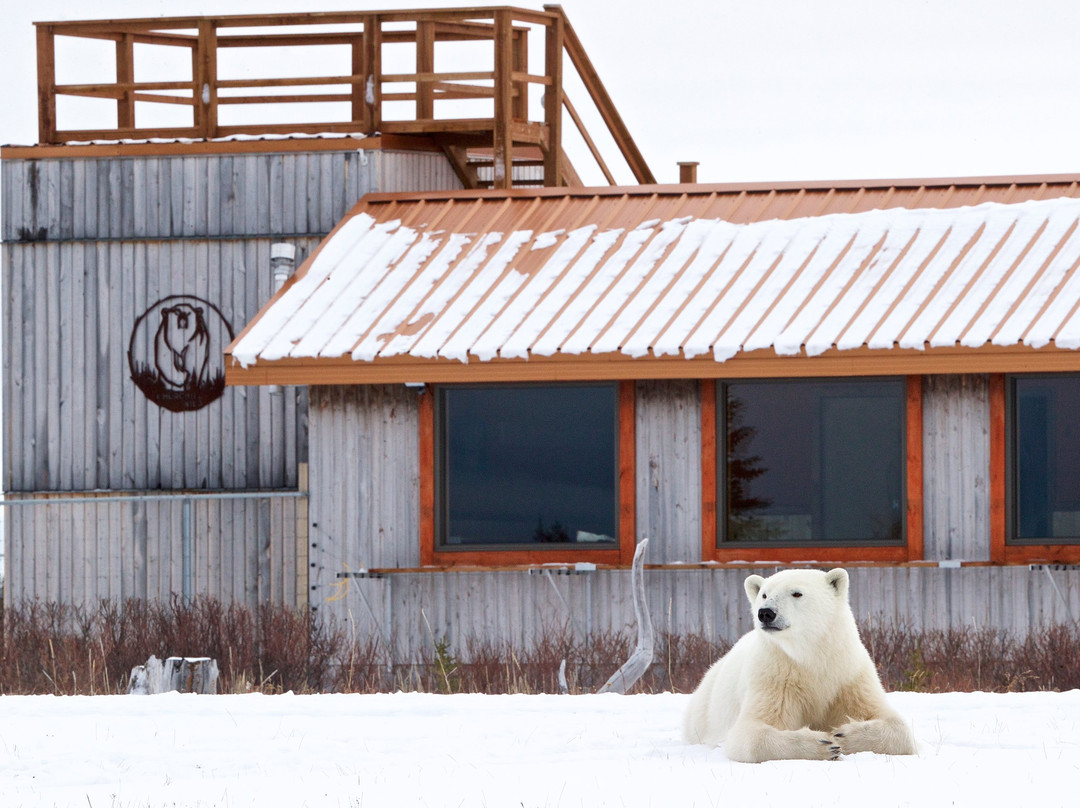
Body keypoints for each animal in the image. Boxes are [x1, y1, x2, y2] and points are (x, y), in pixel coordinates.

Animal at [682, 567, 916, 763]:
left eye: (796, 593)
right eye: (764, 594)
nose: (765, 613)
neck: (809, 657)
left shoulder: (848, 676)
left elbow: (897, 727)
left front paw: (843, 734)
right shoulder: (775, 677)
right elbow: (750, 734)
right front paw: (825, 744)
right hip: (704, 711)